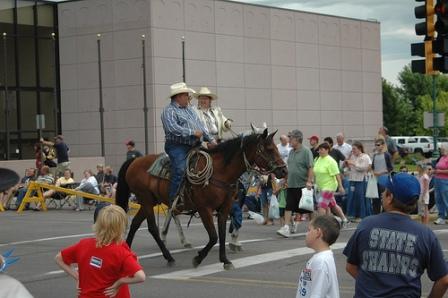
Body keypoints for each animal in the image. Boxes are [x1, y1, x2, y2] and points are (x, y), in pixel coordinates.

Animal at [115, 129, 288, 268]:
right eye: (269, 149)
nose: (284, 171)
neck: (219, 172)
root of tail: (135, 160)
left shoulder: (225, 208)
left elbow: (222, 233)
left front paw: (225, 260)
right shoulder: (205, 209)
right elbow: (213, 236)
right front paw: (198, 258)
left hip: (149, 202)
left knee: (136, 223)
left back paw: (129, 251)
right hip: (146, 199)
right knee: (152, 227)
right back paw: (169, 256)